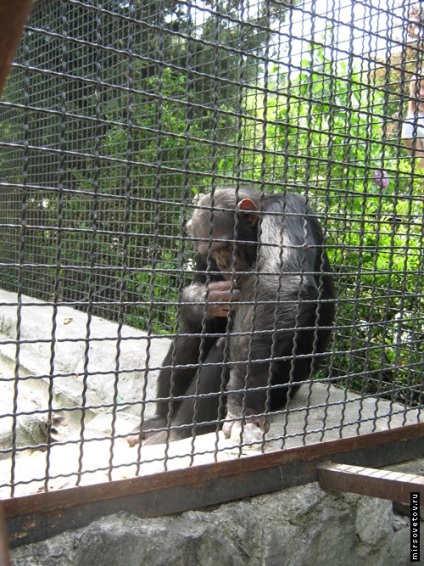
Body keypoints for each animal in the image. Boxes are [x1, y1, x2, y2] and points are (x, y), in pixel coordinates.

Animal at [134, 189, 336, 446]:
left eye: (225, 246)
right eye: (210, 252)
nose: (223, 263)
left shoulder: (287, 211)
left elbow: (280, 285)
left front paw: (243, 408)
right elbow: (201, 291)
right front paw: (202, 299)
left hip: (281, 389)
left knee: (227, 345)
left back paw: (177, 431)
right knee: (192, 331)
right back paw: (161, 420)